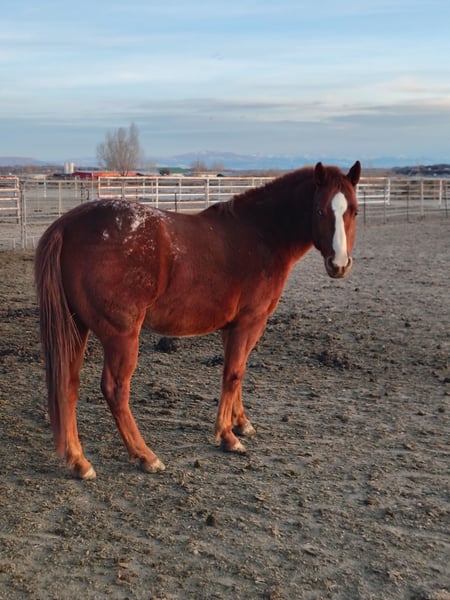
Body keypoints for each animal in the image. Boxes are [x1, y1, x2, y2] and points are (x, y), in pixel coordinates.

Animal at [35, 161, 361, 479]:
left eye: (354, 210)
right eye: (320, 211)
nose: (339, 265)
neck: (260, 234)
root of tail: (67, 225)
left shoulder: (234, 328)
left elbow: (237, 372)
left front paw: (241, 423)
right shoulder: (249, 322)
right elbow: (233, 375)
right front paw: (227, 437)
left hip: (77, 327)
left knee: (68, 385)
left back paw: (79, 462)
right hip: (121, 335)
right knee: (115, 390)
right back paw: (145, 456)